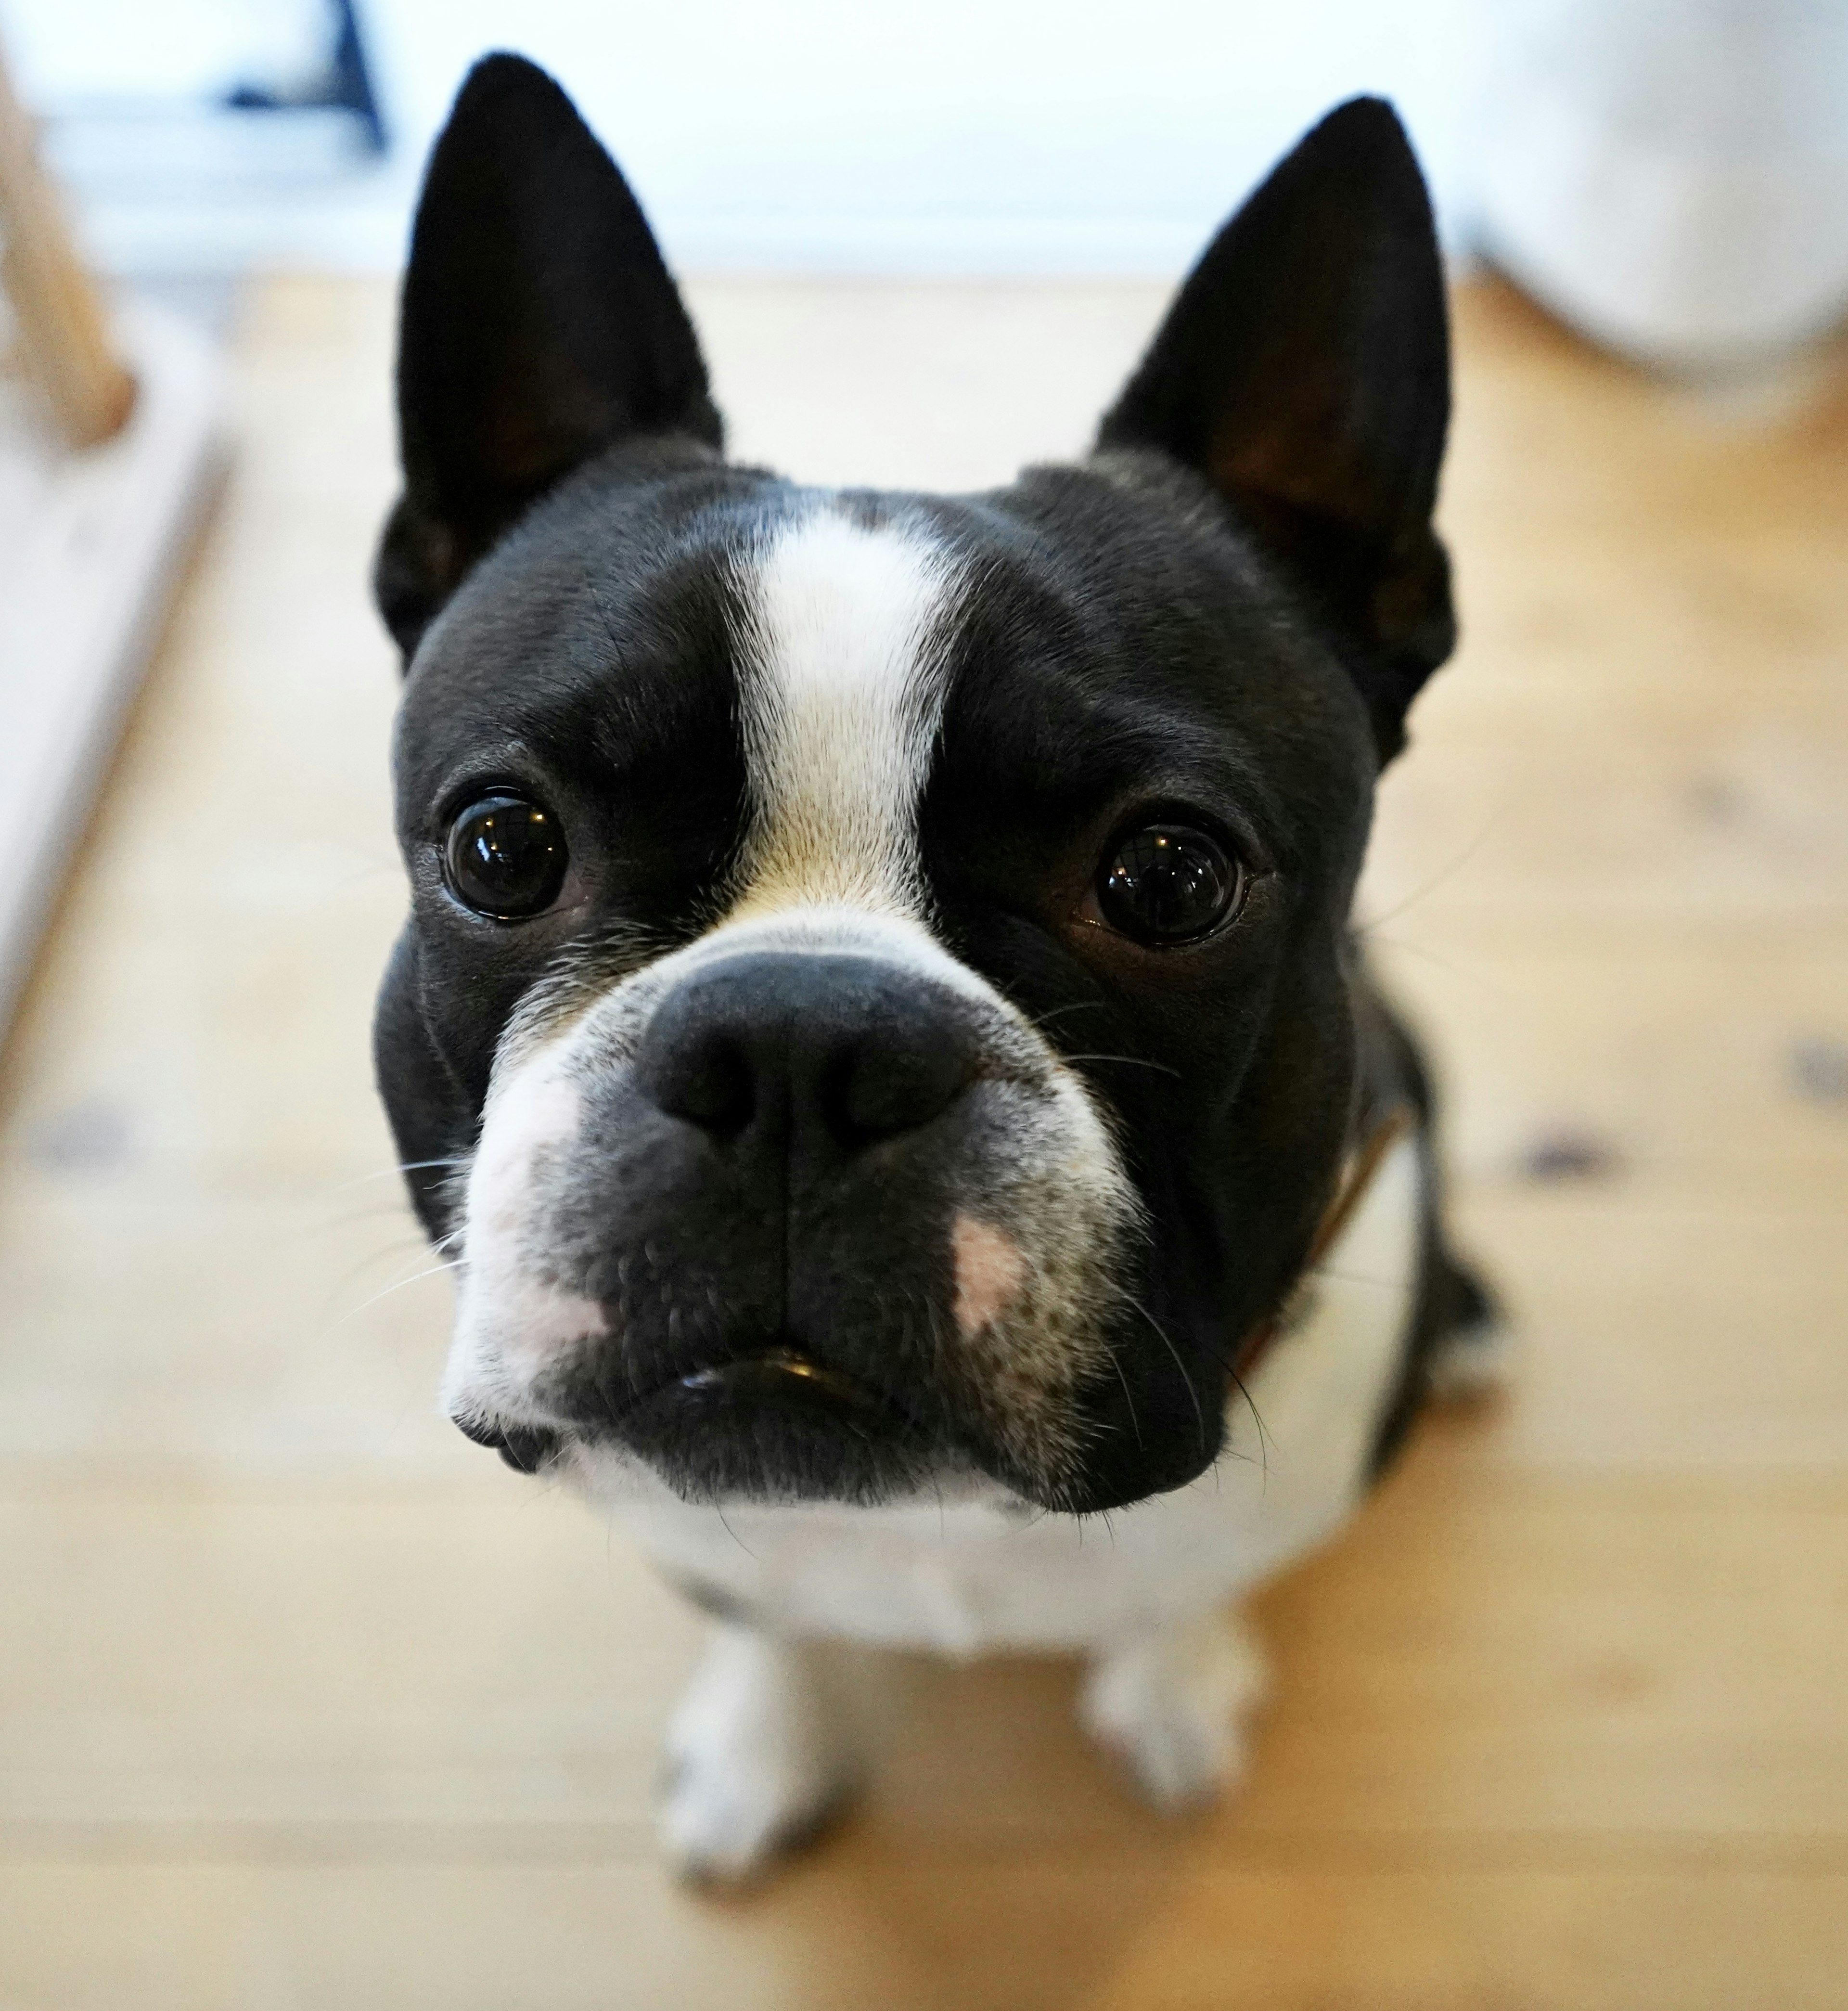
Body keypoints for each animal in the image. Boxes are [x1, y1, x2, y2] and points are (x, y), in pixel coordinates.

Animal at [372, 59, 1504, 1882]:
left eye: (1170, 876)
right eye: (502, 848)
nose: (794, 1049)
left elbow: (1190, 1588)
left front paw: (1175, 1686)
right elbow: (758, 1614)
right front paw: (763, 1745)